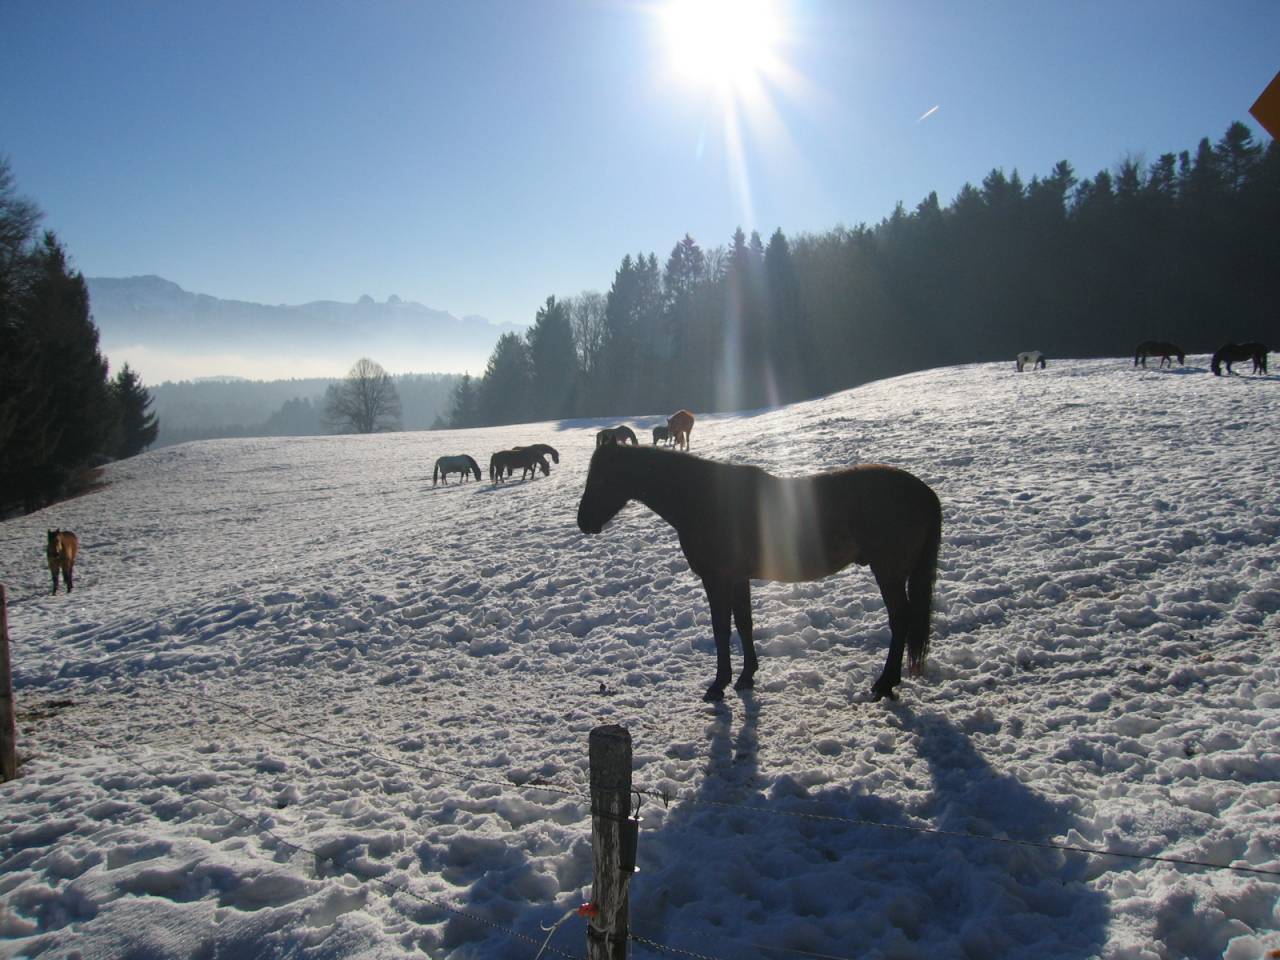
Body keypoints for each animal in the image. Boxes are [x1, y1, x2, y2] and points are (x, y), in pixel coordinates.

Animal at [577, 445, 942, 704]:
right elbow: (744, 624)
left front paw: (719, 684)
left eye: (602, 478)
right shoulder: (739, 578)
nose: (583, 522)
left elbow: (721, 629)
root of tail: (923, 492)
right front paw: (746, 676)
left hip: (888, 571)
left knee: (900, 619)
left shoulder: (717, 578)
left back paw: (885, 683)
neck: (704, 499)